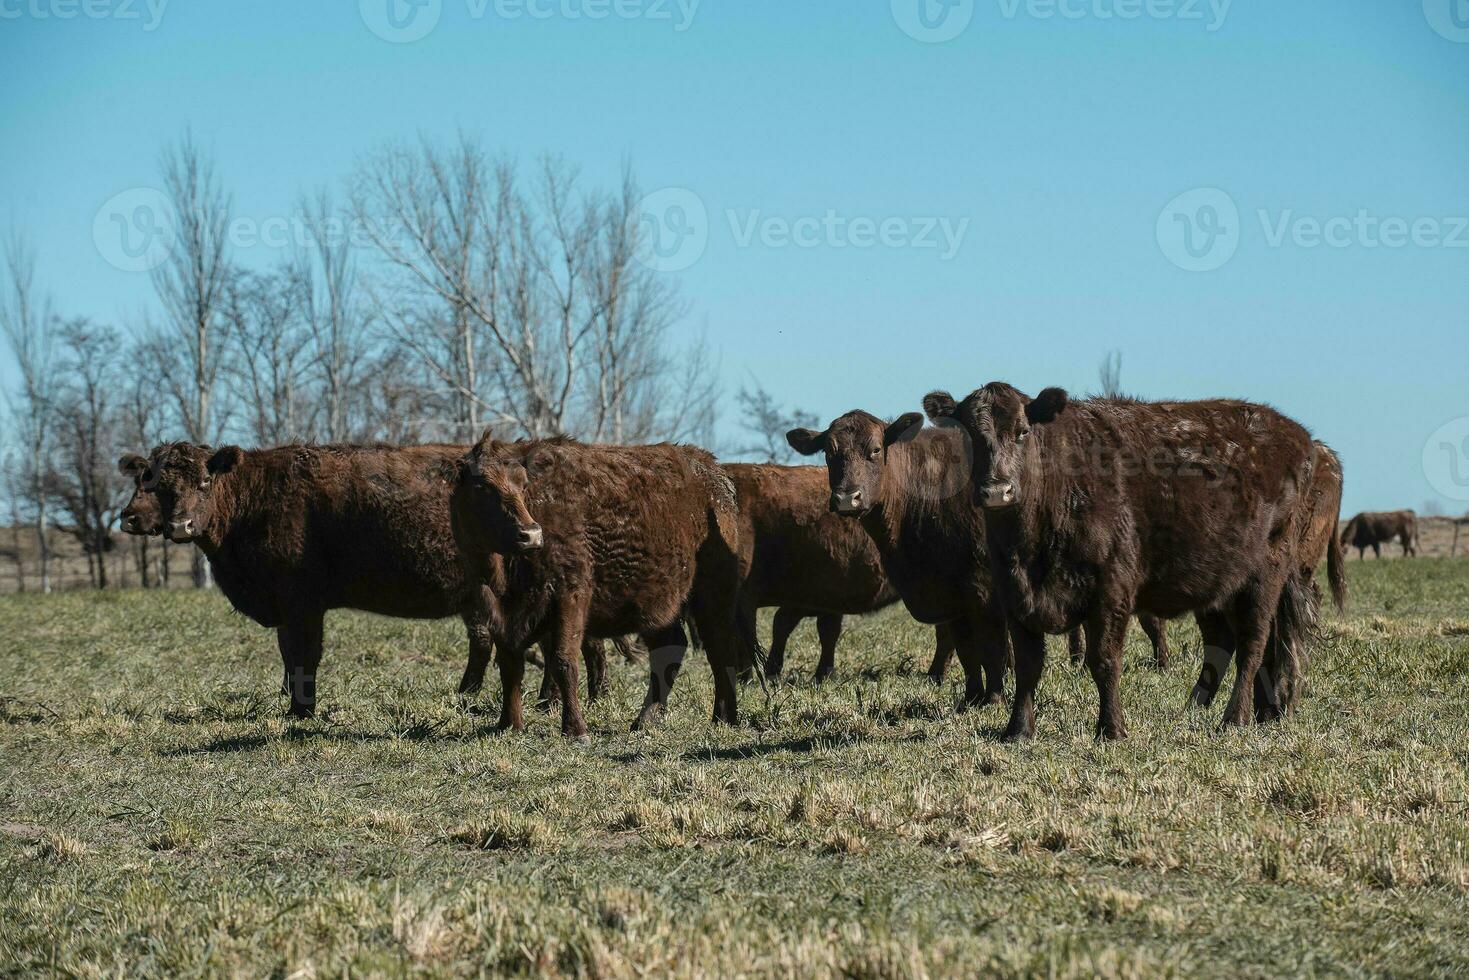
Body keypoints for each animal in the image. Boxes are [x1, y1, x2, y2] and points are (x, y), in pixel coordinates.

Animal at [116, 443, 602, 719]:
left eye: (204, 479)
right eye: (157, 484)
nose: (179, 525)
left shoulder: (302, 604)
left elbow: (303, 657)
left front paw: (303, 711)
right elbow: (289, 657)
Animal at [446, 431, 746, 740]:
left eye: (523, 483)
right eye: (482, 486)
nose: (530, 534)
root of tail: (714, 474)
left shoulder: (569, 596)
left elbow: (563, 661)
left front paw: (575, 729)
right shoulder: (496, 607)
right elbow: (510, 664)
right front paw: (509, 723)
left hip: (713, 594)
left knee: (720, 648)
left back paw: (723, 717)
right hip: (659, 605)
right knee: (670, 647)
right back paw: (646, 719)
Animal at [922, 387, 1316, 740]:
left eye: (1022, 431)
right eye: (970, 436)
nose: (995, 491)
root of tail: (1297, 435)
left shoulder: (1111, 591)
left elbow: (1104, 661)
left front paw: (1111, 729)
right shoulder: (1014, 594)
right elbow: (1027, 666)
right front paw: (1018, 730)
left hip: (1263, 578)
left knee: (1253, 645)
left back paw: (1235, 718)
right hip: (1218, 585)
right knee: (1236, 644)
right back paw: (1249, 710)